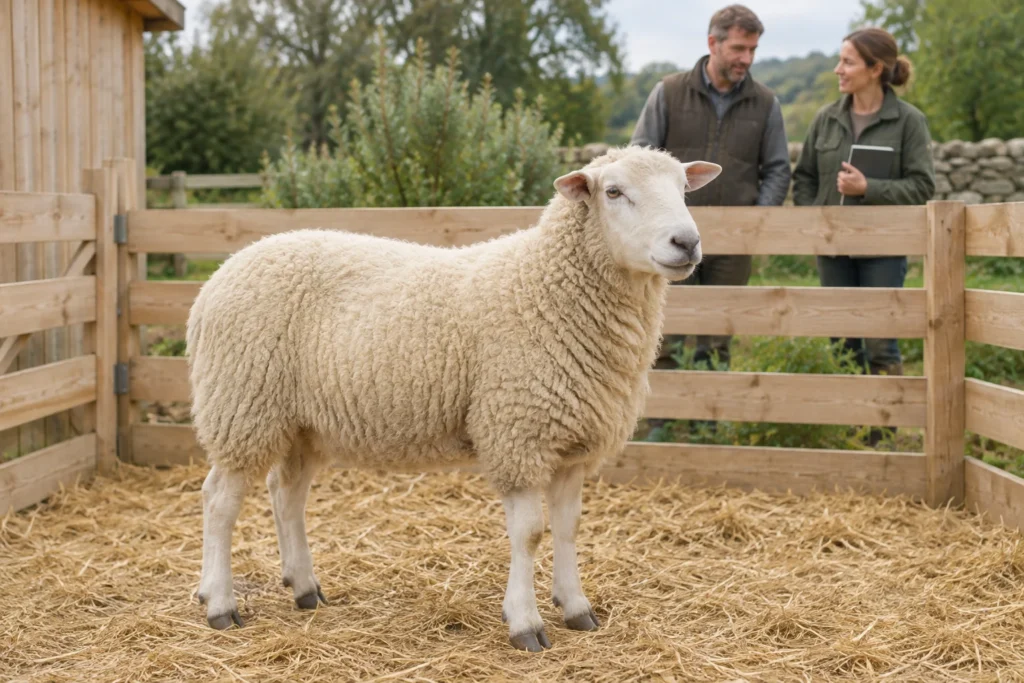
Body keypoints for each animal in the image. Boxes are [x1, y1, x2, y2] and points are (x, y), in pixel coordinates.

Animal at [187, 145, 721, 651]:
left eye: (683, 188)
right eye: (613, 192)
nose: (687, 242)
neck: (547, 285)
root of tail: (218, 278)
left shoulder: (573, 441)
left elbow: (568, 527)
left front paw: (576, 608)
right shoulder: (517, 431)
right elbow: (530, 532)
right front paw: (525, 623)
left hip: (301, 422)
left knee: (287, 495)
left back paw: (303, 588)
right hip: (242, 404)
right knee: (219, 501)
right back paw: (220, 605)